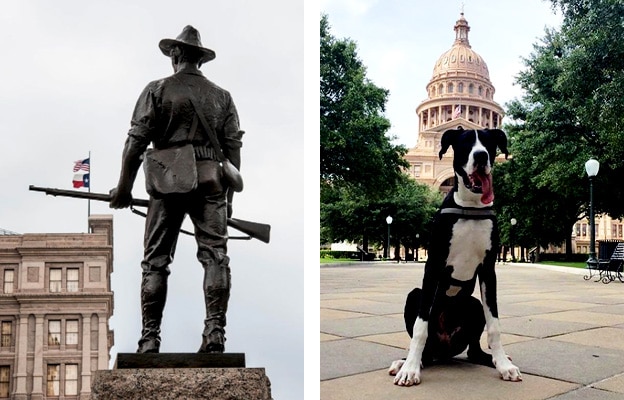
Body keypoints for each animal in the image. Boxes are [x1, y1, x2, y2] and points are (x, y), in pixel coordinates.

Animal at [390, 127, 520, 384]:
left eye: (489, 144)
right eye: (465, 144)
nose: (481, 156)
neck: (470, 207)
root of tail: (444, 350)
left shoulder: (488, 271)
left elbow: (495, 325)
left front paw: (502, 364)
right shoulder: (433, 268)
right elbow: (420, 327)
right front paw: (409, 369)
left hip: (474, 305)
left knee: (473, 350)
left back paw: (490, 359)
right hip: (414, 295)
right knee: (425, 348)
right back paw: (407, 362)